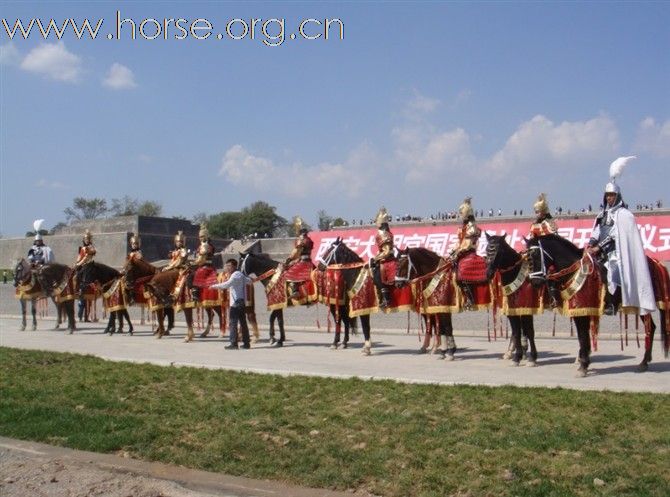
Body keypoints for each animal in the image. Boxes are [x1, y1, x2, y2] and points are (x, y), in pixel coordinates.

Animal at [486, 232, 544, 364]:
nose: (489, 273)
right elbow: (517, 331)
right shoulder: (512, 309)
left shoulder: (527, 308)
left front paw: (532, 357)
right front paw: (518, 356)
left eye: (499, 251)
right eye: (486, 250)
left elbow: (529, 331)